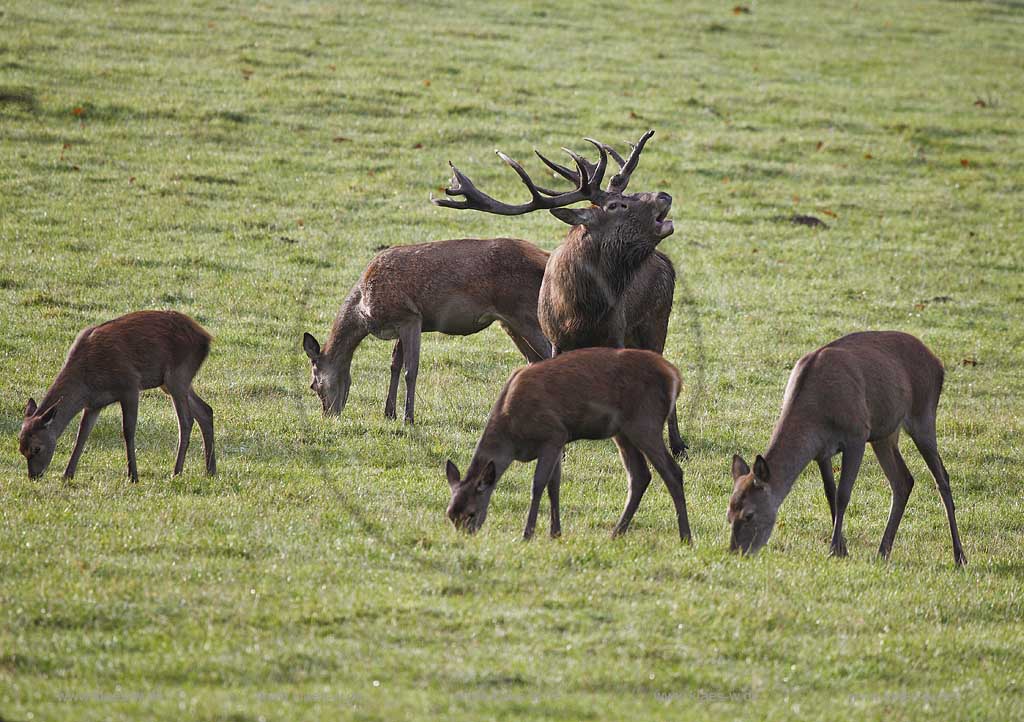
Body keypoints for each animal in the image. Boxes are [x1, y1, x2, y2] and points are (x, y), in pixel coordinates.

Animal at [18, 309, 216, 481]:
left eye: (37, 448)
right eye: (20, 449)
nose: (34, 476)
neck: (87, 382)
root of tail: (206, 337)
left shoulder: (130, 385)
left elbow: (128, 430)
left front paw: (133, 476)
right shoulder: (94, 403)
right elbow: (82, 435)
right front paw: (67, 475)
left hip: (177, 376)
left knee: (186, 420)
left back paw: (176, 471)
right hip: (171, 382)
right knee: (205, 410)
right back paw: (210, 470)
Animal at [301, 236, 552, 419]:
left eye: (313, 385)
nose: (329, 415)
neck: (363, 309)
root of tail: (546, 258)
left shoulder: (409, 316)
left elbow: (411, 369)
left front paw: (408, 418)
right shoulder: (402, 324)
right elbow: (394, 364)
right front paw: (389, 413)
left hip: (525, 312)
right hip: (510, 323)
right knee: (534, 360)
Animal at [432, 130, 688, 456]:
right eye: (616, 205)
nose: (664, 196)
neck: (580, 312)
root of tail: (665, 260)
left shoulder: (616, 334)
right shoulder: (555, 338)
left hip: (656, 320)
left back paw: (678, 444)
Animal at [446, 344, 692, 540]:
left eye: (471, 512)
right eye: (450, 514)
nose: (466, 537)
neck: (512, 436)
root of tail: (675, 376)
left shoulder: (553, 434)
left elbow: (538, 484)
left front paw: (528, 534)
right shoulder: (559, 440)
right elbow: (554, 485)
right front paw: (555, 533)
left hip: (645, 422)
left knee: (672, 472)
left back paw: (685, 537)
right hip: (622, 432)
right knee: (640, 475)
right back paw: (616, 533)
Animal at [729, 329, 966, 565]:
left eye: (749, 514)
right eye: (729, 512)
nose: (736, 551)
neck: (817, 415)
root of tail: (938, 363)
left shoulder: (857, 435)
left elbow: (843, 494)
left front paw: (834, 548)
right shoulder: (821, 452)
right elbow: (830, 492)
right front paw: (843, 548)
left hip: (923, 415)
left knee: (942, 478)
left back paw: (959, 556)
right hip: (884, 434)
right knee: (903, 480)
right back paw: (883, 551)